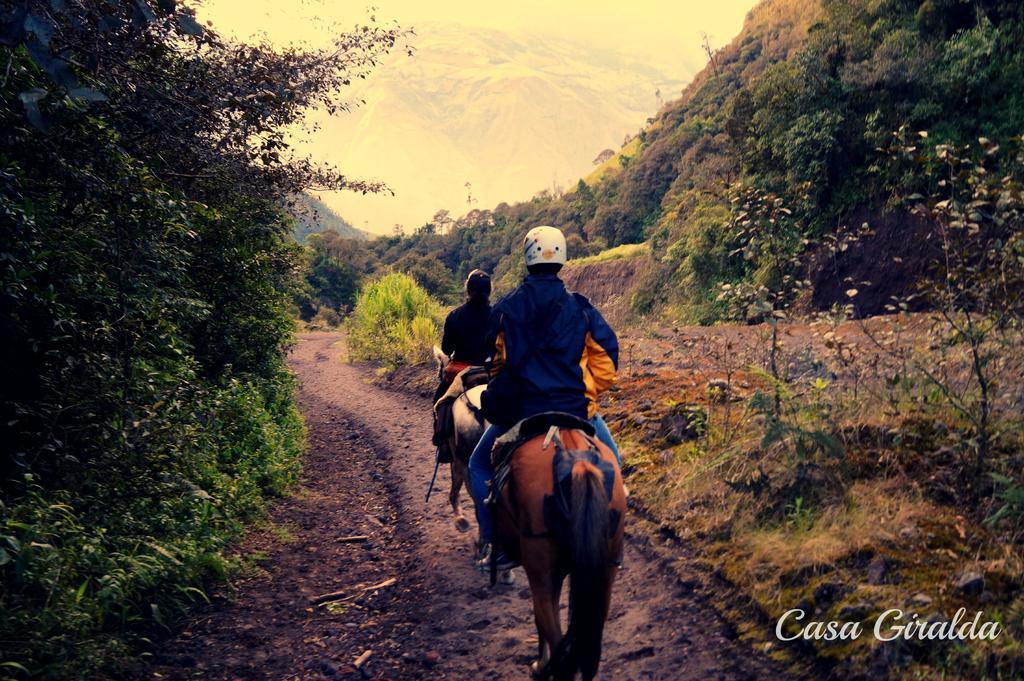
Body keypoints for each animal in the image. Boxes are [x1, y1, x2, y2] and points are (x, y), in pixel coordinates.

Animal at [489, 421, 622, 675]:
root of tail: (578, 461)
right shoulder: (559, 575)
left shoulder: (545, 575)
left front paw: (540, 663)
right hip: (606, 573)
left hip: (540, 572)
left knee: (554, 637)